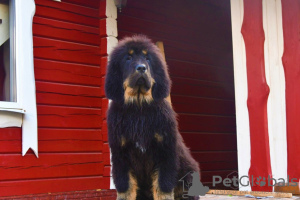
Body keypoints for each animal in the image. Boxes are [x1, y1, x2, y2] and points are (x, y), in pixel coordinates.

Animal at [104, 35, 200, 199]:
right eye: (128, 58)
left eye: (147, 58)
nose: (141, 68)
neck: (139, 108)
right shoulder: (120, 154)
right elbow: (125, 187)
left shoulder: (165, 151)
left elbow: (163, 186)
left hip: (188, 171)